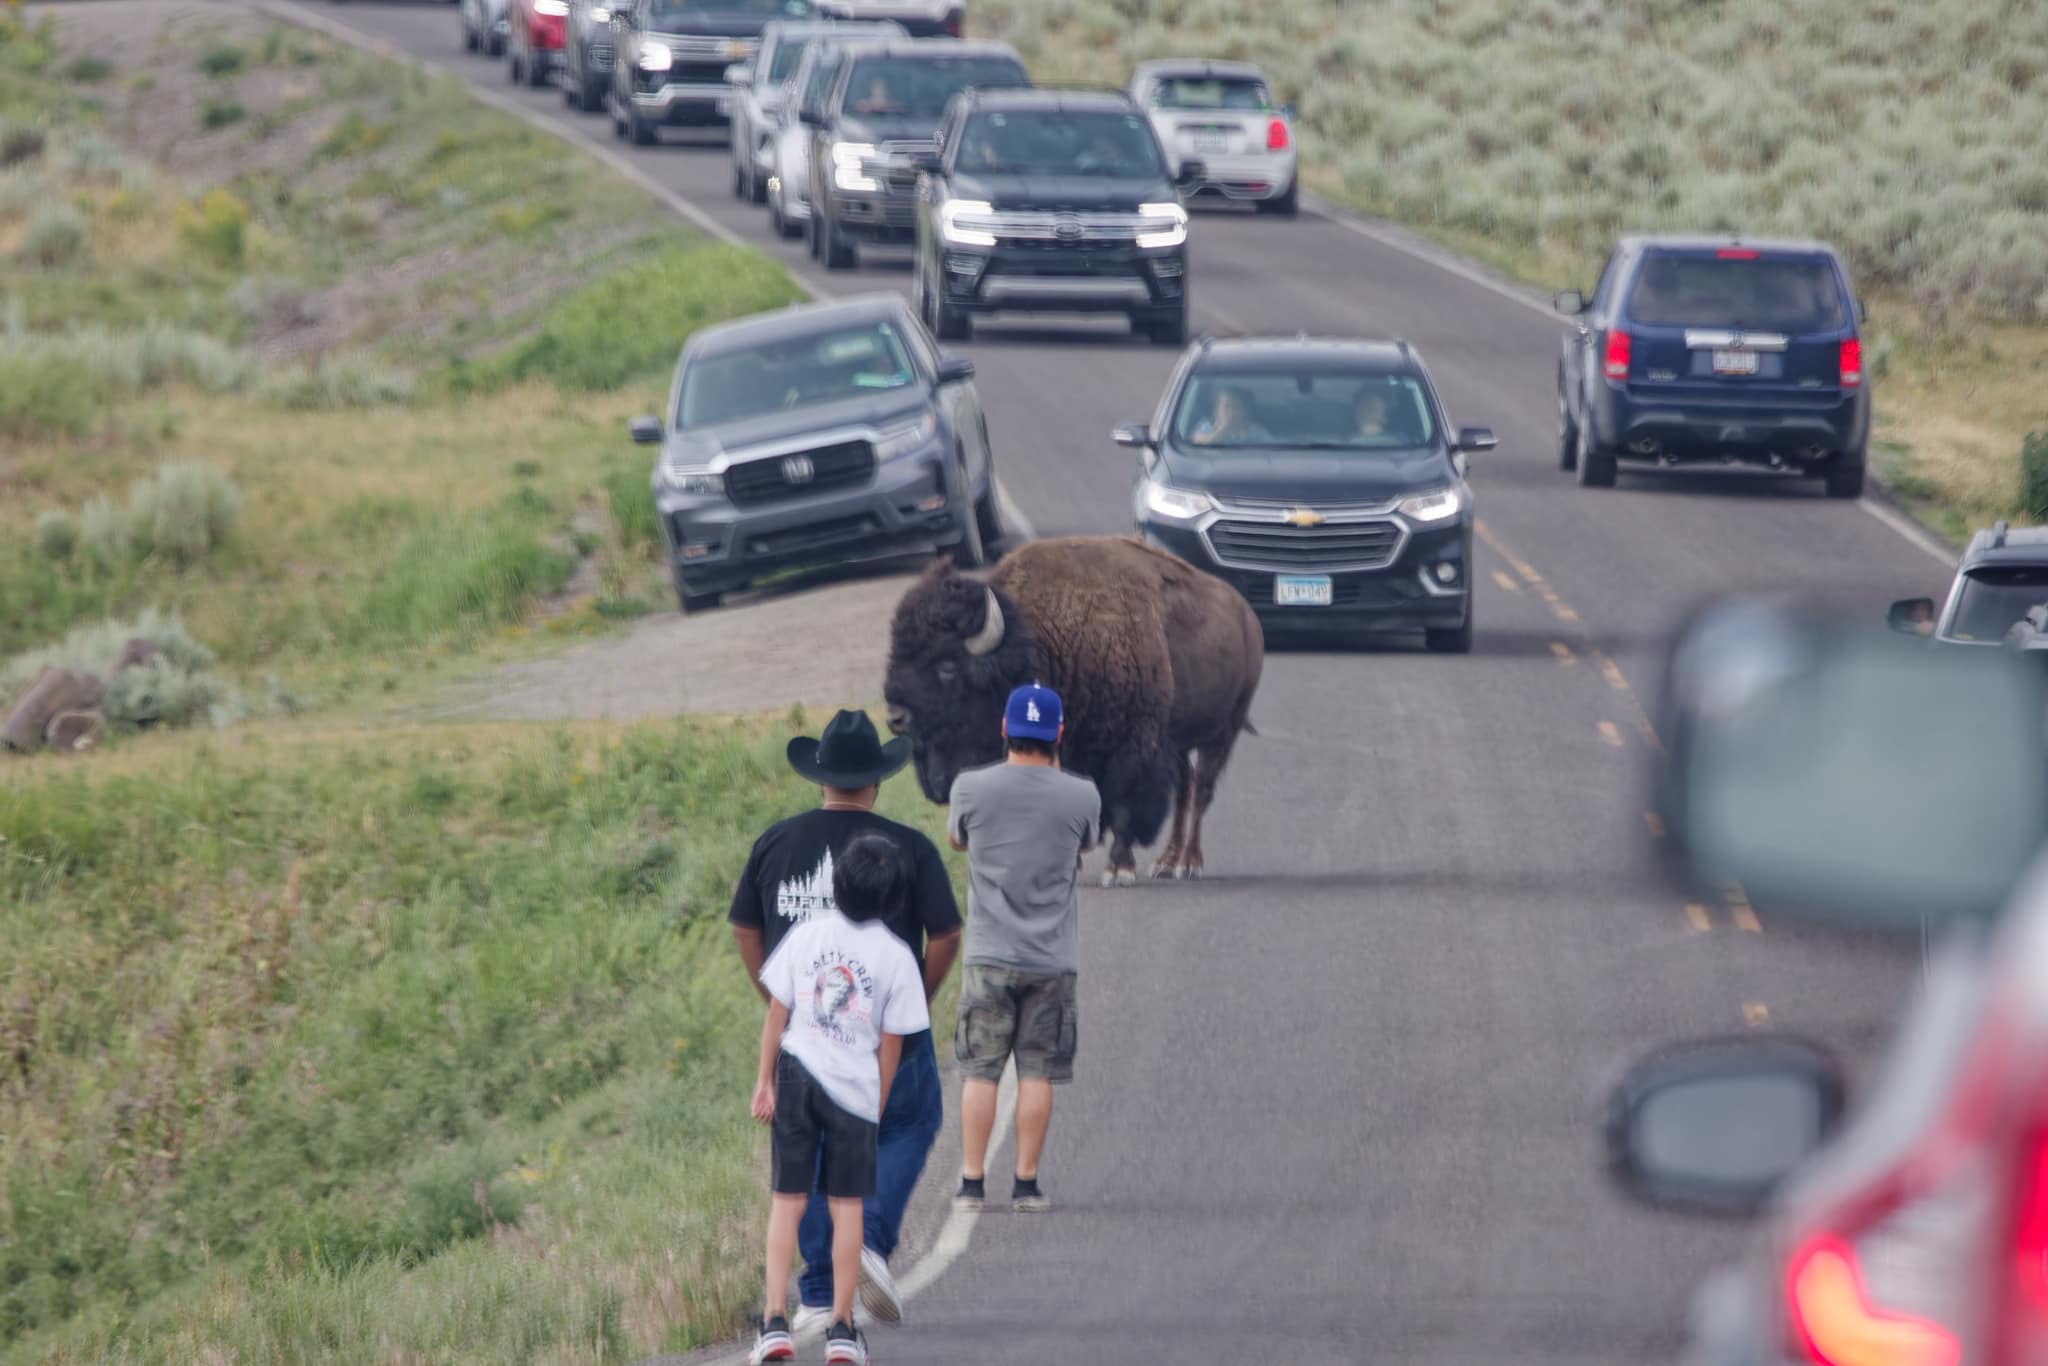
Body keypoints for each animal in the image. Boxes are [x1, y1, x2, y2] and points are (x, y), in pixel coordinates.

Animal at [884, 532, 1261, 888]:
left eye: (947, 665)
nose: (895, 716)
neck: (1042, 641)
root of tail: (1246, 615)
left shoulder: (1132, 747)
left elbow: (1123, 809)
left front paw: (1118, 870)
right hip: (1181, 742)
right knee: (1185, 789)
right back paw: (1167, 862)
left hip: (1222, 733)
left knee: (1201, 792)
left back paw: (1188, 864)